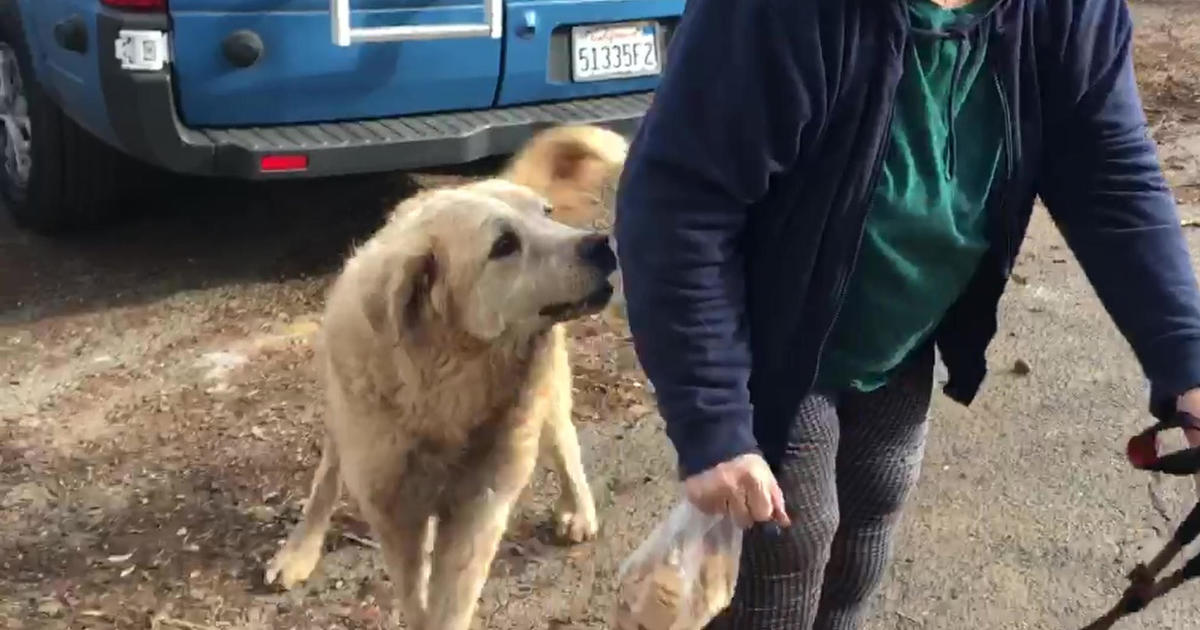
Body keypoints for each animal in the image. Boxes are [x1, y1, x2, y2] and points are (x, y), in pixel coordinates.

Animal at [266, 124, 628, 628]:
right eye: (504, 245)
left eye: (547, 214)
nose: (602, 244)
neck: (448, 386)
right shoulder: (394, 513)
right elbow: (415, 595)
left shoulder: (479, 509)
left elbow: (449, 602)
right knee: (329, 476)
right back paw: (300, 548)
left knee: (563, 438)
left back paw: (577, 508)